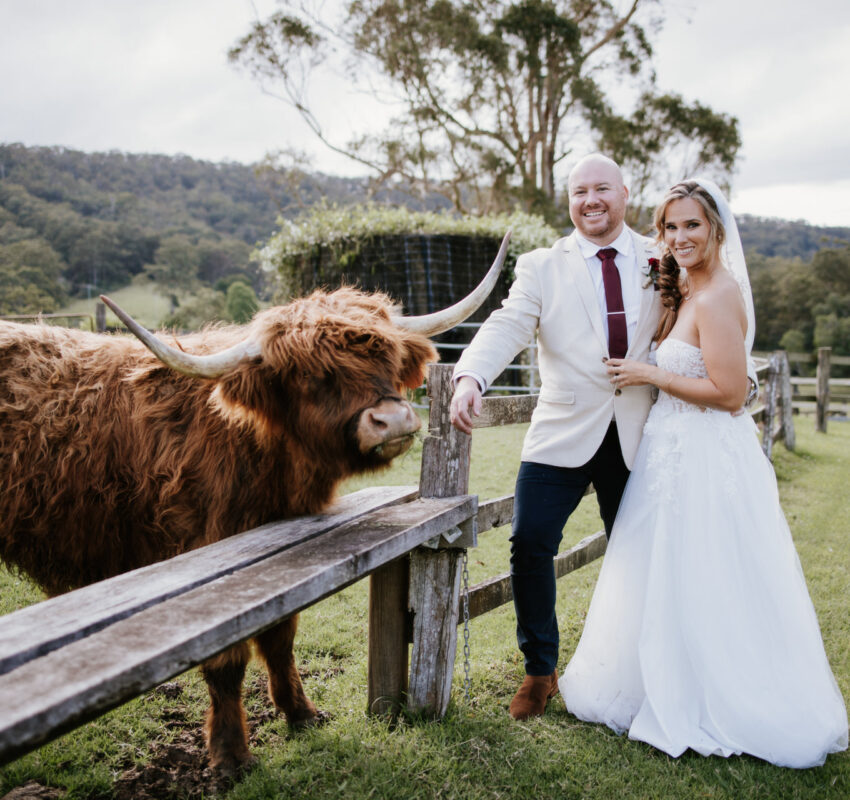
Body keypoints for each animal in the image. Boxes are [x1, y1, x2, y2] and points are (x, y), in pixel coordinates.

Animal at [0, 234, 504, 780]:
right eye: (313, 375)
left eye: (387, 358)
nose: (391, 421)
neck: (256, 444)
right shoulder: (208, 555)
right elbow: (228, 663)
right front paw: (231, 754)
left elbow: (281, 638)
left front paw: (301, 713)